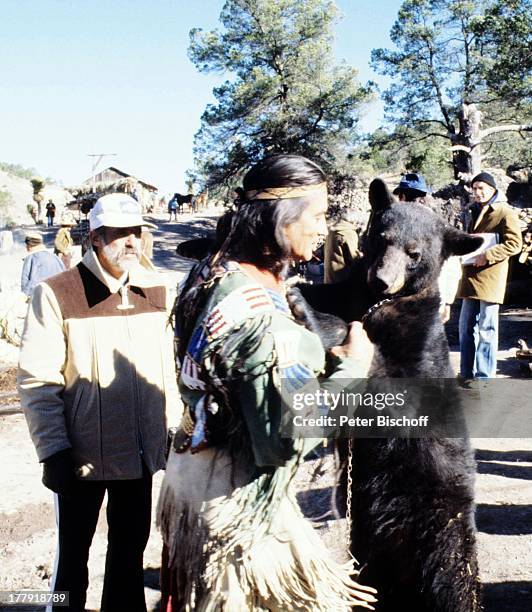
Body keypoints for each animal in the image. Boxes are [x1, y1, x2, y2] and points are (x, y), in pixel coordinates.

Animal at [288, 178, 484, 612]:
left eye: (415, 253)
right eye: (381, 237)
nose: (380, 280)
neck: (379, 304)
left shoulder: (417, 345)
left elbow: (390, 385)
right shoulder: (350, 293)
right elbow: (329, 299)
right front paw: (299, 294)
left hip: (443, 526)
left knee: (453, 579)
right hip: (367, 539)